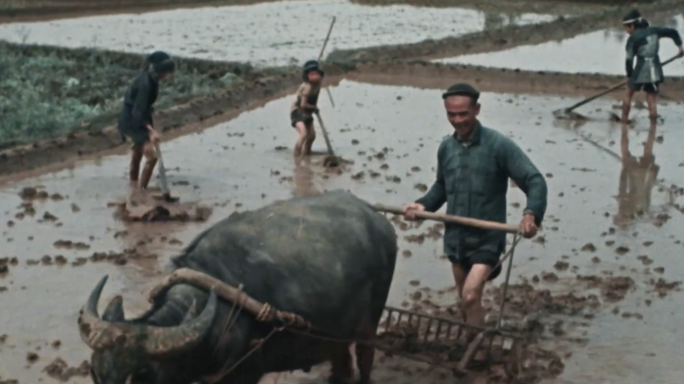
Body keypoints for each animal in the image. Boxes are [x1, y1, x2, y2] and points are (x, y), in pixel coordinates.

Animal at [79, 190, 400, 384]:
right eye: (95, 371)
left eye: (141, 375)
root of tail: (375, 215)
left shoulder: (244, 373)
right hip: (335, 330)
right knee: (341, 359)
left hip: (370, 321)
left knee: (365, 356)